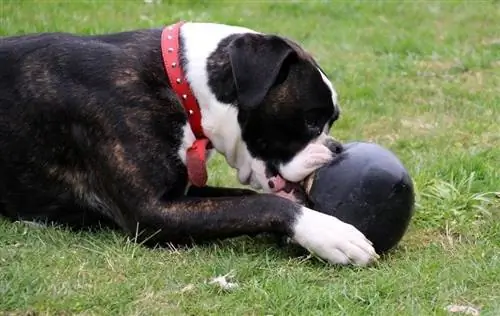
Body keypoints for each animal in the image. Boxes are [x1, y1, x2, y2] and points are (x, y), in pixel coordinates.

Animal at [0, 21, 376, 266]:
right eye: (311, 121)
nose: (337, 148)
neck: (182, 85)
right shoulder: (152, 212)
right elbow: (260, 204)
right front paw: (328, 233)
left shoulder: (182, 194)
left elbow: (245, 200)